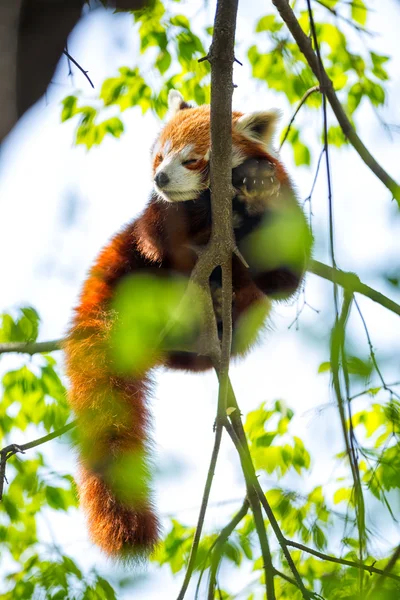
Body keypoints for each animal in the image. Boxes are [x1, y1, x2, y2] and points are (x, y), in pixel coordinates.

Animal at [64, 89, 310, 556]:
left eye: (192, 160)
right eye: (160, 156)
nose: (160, 178)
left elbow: (283, 280)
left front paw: (257, 190)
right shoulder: (156, 222)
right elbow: (164, 232)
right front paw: (209, 205)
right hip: (133, 265)